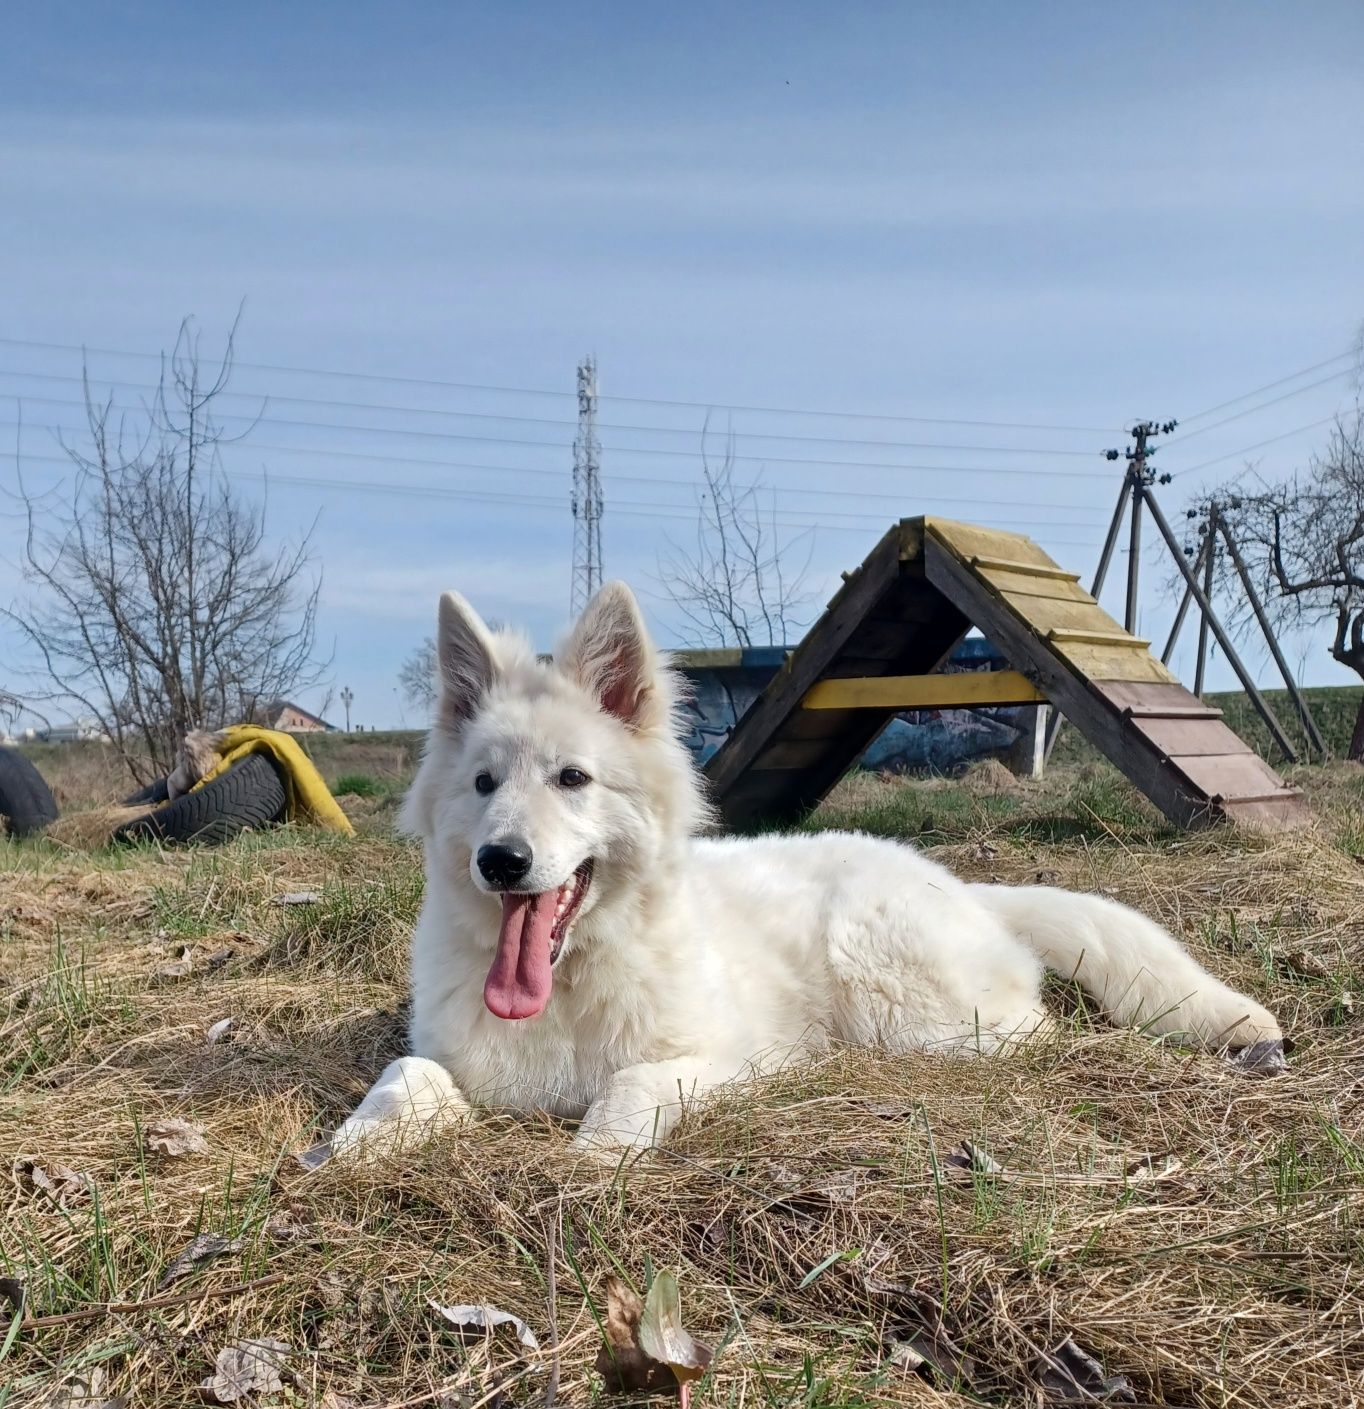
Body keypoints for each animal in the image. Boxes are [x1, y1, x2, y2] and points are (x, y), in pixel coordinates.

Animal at [328, 580, 1279, 1155]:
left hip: (895, 989)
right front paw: (347, 1145)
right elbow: (405, 1076)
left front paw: (596, 1153)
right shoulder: (452, 1059)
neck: (565, 985)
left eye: (572, 778)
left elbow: (630, 1087)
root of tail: (964, 884)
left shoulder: (715, 1058)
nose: (501, 861)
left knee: (1027, 1031)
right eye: (484, 783)